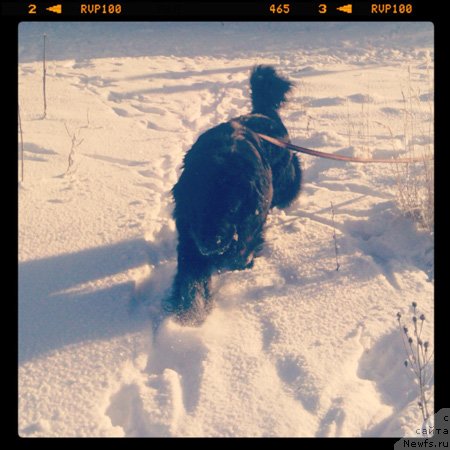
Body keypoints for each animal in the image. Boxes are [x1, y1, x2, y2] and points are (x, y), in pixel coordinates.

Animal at [166, 65, 302, 326]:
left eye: (232, 209)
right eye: (198, 208)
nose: (211, 244)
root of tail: (264, 113)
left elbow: (240, 252)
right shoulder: (190, 237)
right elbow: (191, 280)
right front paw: (188, 318)